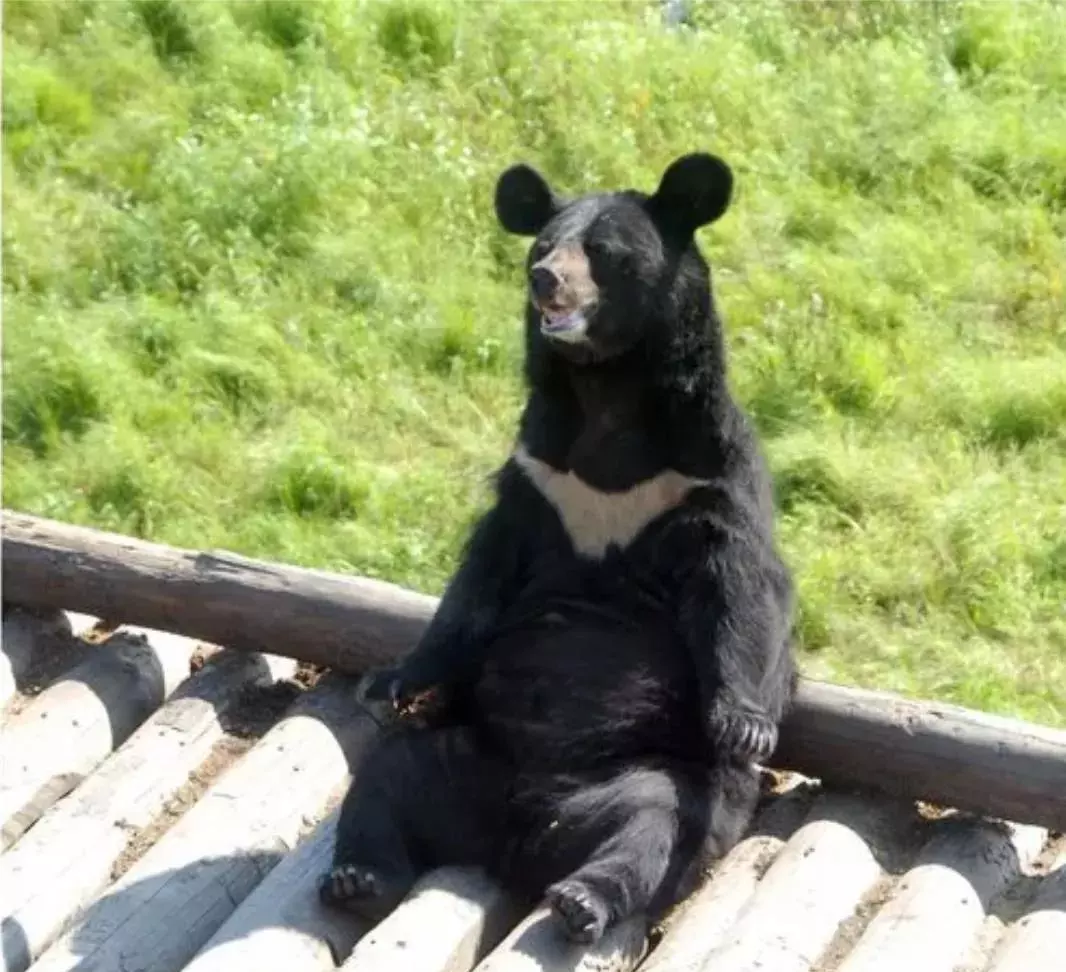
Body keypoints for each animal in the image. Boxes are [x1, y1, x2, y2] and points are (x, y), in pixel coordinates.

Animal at [319, 152, 796, 945]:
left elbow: (739, 589)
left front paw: (745, 726)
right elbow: (478, 581)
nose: (545, 279)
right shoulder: (539, 476)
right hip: (460, 752)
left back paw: (581, 899)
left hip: (652, 779)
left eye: (602, 251)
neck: (605, 394)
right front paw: (390, 679)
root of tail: (517, 838)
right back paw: (357, 877)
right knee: (386, 782)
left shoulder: (704, 477)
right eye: (542, 247)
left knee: (653, 824)